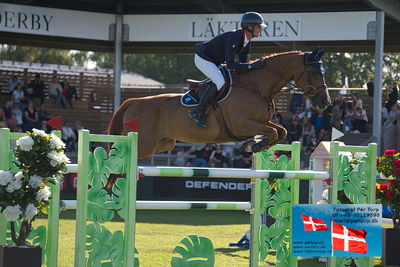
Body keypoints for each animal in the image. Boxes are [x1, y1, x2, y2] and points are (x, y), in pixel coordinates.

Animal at [108, 48, 330, 159]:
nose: (325, 101)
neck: (255, 87)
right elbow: (274, 132)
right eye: (314, 72)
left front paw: (254, 145)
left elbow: (281, 131)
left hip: (163, 144)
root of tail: (133, 102)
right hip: (144, 144)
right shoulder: (242, 125)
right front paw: (255, 146)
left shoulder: (260, 122)